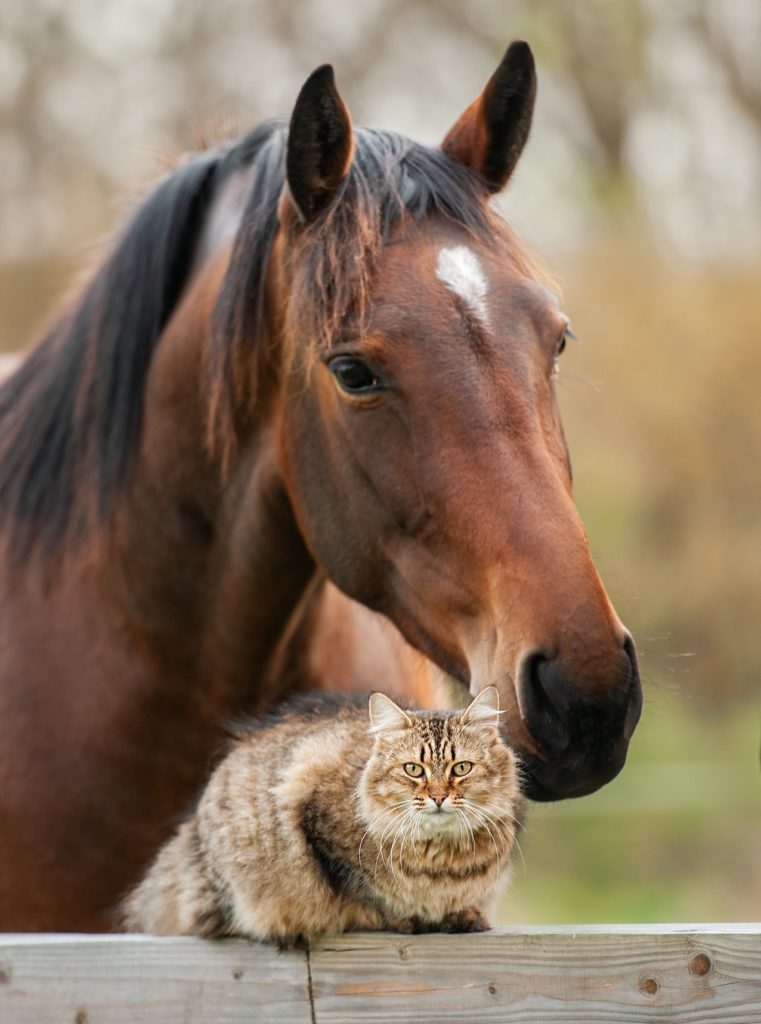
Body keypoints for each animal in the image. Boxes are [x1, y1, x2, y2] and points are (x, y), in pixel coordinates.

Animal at [123, 688, 524, 942]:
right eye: (413, 769)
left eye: (461, 768)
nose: (439, 796)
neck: (441, 859)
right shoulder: (322, 835)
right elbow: (374, 897)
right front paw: (410, 918)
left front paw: (462, 916)